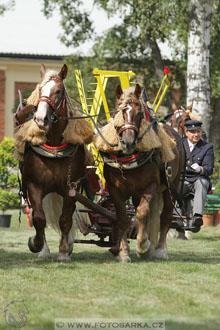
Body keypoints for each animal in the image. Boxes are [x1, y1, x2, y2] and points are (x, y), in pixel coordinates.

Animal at [16, 63, 93, 260]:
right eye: (39, 89)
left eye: (58, 91)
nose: (40, 119)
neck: (54, 145)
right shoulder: (34, 186)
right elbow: (39, 218)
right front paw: (37, 245)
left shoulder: (71, 188)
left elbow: (65, 219)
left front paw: (64, 251)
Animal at [102, 84, 185, 262]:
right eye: (118, 111)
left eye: (139, 113)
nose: (128, 142)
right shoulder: (114, 189)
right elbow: (122, 218)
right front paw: (123, 252)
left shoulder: (151, 186)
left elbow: (141, 213)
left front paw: (142, 246)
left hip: (170, 186)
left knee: (166, 215)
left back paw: (159, 250)